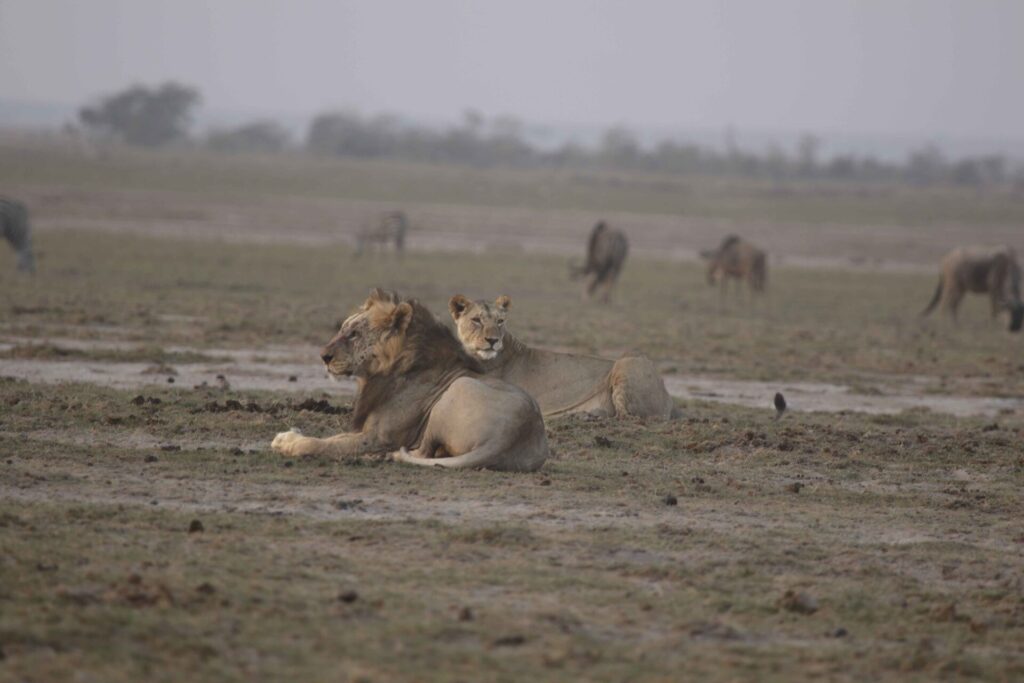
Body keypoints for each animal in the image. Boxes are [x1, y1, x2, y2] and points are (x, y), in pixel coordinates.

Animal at [271, 289, 549, 470]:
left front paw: (288, 442)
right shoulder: (367, 430)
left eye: (354, 334)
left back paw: (382, 458)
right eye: (342, 329)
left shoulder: (381, 437)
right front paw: (291, 434)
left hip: (454, 392)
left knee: (422, 451)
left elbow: (324, 445)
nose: (323, 356)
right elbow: (334, 438)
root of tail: (511, 435)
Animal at [449, 294, 677, 419]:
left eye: (500, 321)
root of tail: (668, 396)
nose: (492, 340)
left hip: (628, 361)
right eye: (476, 320)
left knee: (627, 417)